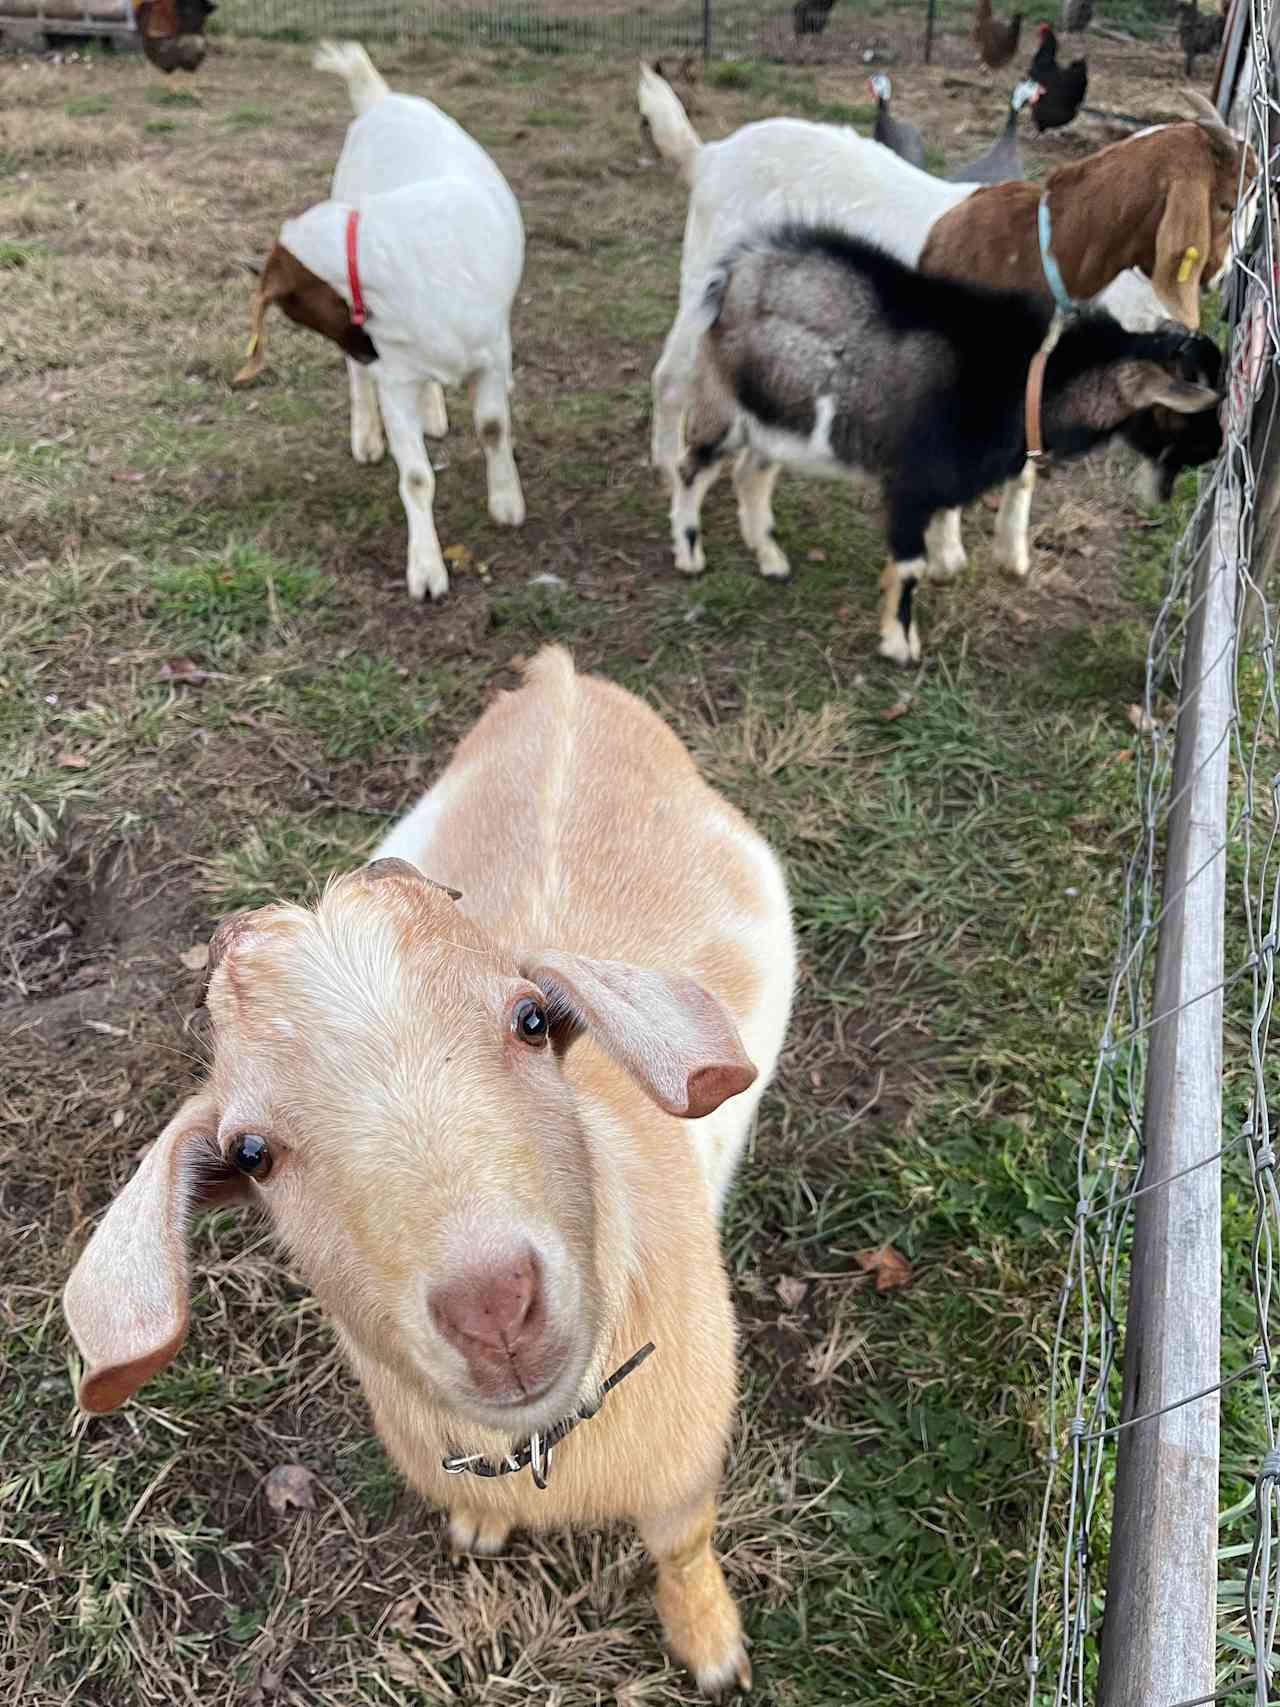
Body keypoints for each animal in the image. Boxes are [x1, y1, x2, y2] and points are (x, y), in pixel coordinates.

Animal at [67, 645, 802, 1700]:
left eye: (532, 1018)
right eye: (251, 1152)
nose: (495, 1304)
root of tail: (561, 677)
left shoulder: (684, 1465)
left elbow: (683, 1544)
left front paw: (710, 1644)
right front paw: (484, 1525)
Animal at [235, 41, 525, 600]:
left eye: (296, 308)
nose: (364, 350)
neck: (377, 252)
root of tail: (380, 99)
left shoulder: (490, 352)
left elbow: (493, 428)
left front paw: (506, 503)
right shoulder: (393, 374)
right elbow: (415, 477)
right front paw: (427, 570)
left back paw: (434, 413)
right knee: (360, 384)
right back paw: (368, 436)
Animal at [675, 232, 1215, 665]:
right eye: (1188, 408)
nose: (1212, 452)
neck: (1028, 380)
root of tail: (736, 274)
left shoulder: (943, 483)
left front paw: (938, 570)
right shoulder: (910, 483)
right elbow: (908, 565)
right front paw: (900, 646)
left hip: (778, 420)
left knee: (751, 473)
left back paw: (770, 557)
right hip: (723, 400)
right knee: (694, 467)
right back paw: (690, 554)